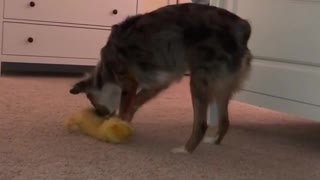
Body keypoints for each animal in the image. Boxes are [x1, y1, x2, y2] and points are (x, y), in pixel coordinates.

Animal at [69, 3, 251, 153]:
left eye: (92, 101)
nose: (101, 116)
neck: (106, 69)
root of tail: (242, 27)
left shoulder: (129, 82)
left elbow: (126, 106)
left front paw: (116, 126)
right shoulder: (157, 83)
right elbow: (134, 104)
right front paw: (126, 124)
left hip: (199, 81)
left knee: (201, 124)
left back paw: (185, 150)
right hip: (221, 87)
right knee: (225, 121)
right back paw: (214, 140)